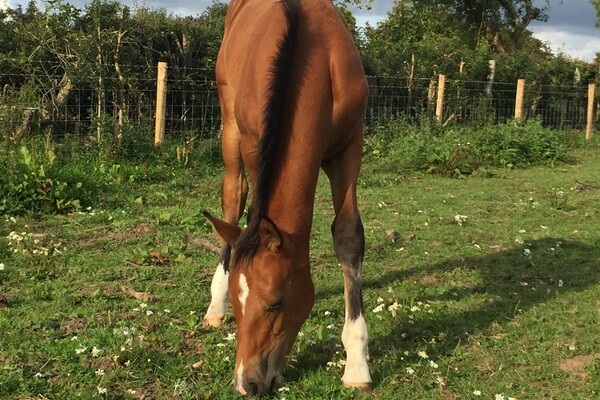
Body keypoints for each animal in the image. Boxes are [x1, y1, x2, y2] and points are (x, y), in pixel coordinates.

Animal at [203, 0, 370, 394]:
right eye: (239, 302)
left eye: (276, 304)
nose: (247, 383)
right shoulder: (255, 143)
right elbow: (251, 209)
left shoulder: (349, 147)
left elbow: (348, 236)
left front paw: (357, 365)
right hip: (229, 124)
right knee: (234, 198)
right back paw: (214, 307)